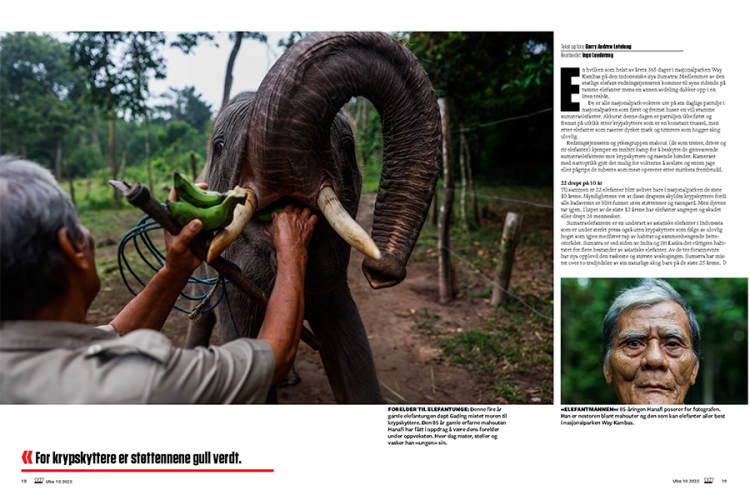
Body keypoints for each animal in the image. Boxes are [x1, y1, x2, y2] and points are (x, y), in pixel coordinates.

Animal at [185, 32, 442, 404]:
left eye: (348, 147)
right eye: (219, 147)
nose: (380, 272)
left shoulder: (334, 286)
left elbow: (353, 353)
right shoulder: (230, 281)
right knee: (199, 319)